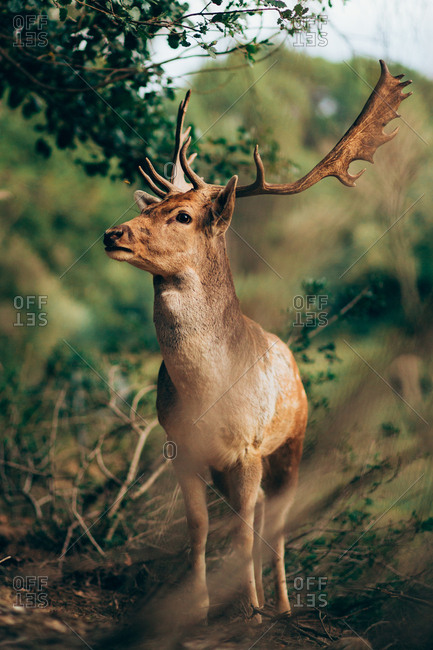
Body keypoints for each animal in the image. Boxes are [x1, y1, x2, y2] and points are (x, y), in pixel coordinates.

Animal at [103, 62, 410, 624]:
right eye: (156, 204)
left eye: (183, 216)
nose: (115, 234)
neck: (207, 392)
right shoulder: (181, 448)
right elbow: (200, 529)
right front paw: (198, 608)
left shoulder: (247, 447)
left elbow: (245, 533)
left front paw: (249, 609)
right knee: (256, 517)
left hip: (292, 443)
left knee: (276, 524)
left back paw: (281, 605)